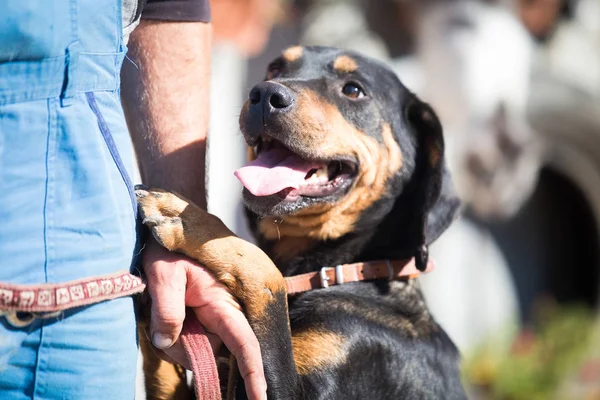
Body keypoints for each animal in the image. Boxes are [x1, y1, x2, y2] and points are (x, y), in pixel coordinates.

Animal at [139, 46, 464, 400]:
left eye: (353, 90)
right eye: (274, 69)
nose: (264, 94)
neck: (343, 272)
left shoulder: (280, 386)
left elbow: (269, 278)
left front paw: (185, 217)